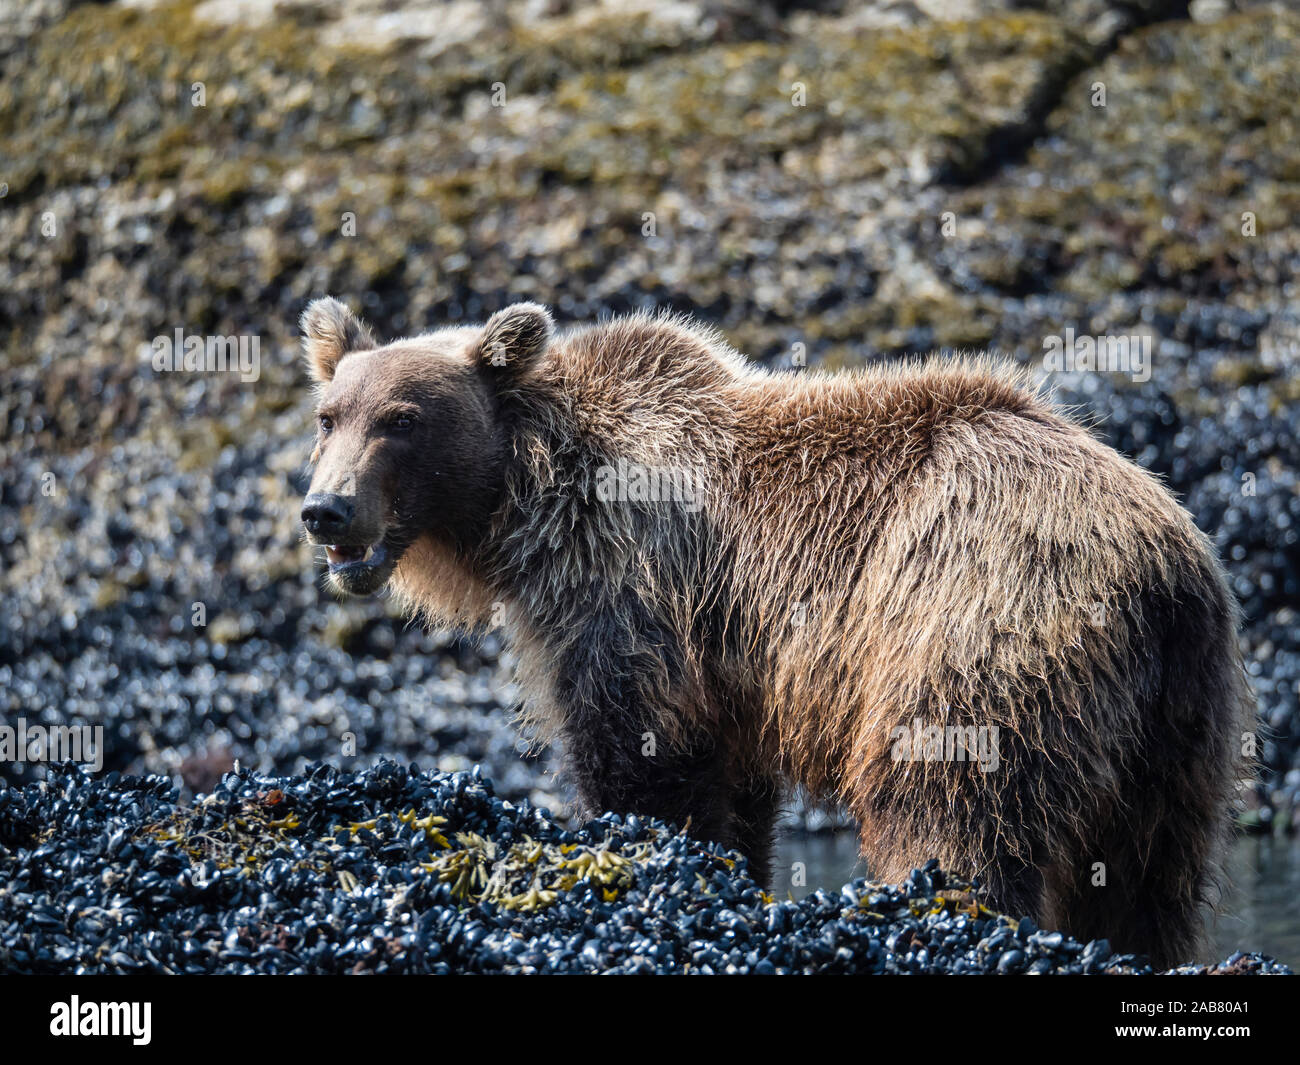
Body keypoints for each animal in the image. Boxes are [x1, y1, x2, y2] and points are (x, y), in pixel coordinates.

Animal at [299, 295, 1253, 972]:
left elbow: (640, 754)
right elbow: (739, 791)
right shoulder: (734, 667)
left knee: (950, 808)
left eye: (402, 419)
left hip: (975, 620)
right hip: (1181, 718)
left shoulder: (631, 588)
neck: (534, 498)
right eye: (329, 414)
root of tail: (1163, 560)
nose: (326, 510)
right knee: (1151, 874)